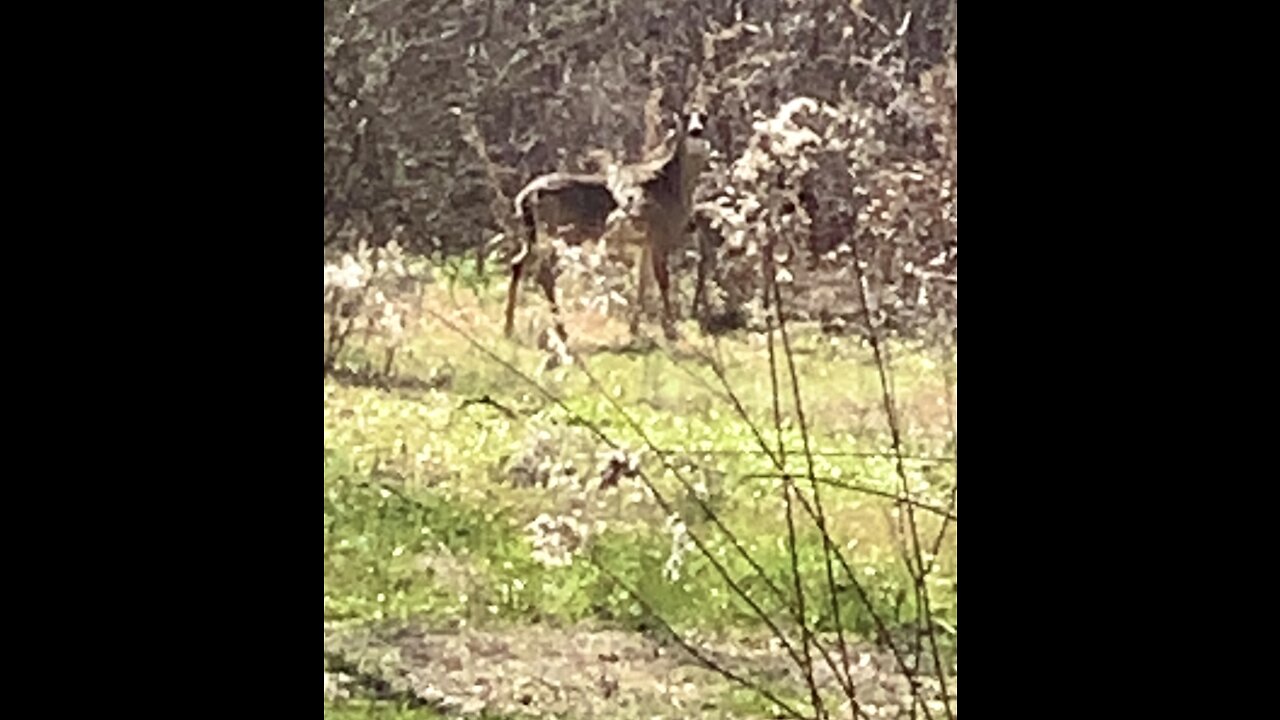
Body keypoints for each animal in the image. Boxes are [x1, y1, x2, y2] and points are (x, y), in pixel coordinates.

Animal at [501, 103, 711, 345]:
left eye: (704, 116)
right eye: (685, 116)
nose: (696, 131)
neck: (672, 185)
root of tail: (525, 196)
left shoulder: (646, 240)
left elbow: (643, 282)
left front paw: (634, 329)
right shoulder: (659, 232)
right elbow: (662, 280)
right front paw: (671, 331)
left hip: (534, 232)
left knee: (518, 262)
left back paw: (509, 328)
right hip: (558, 231)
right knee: (544, 273)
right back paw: (561, 332)